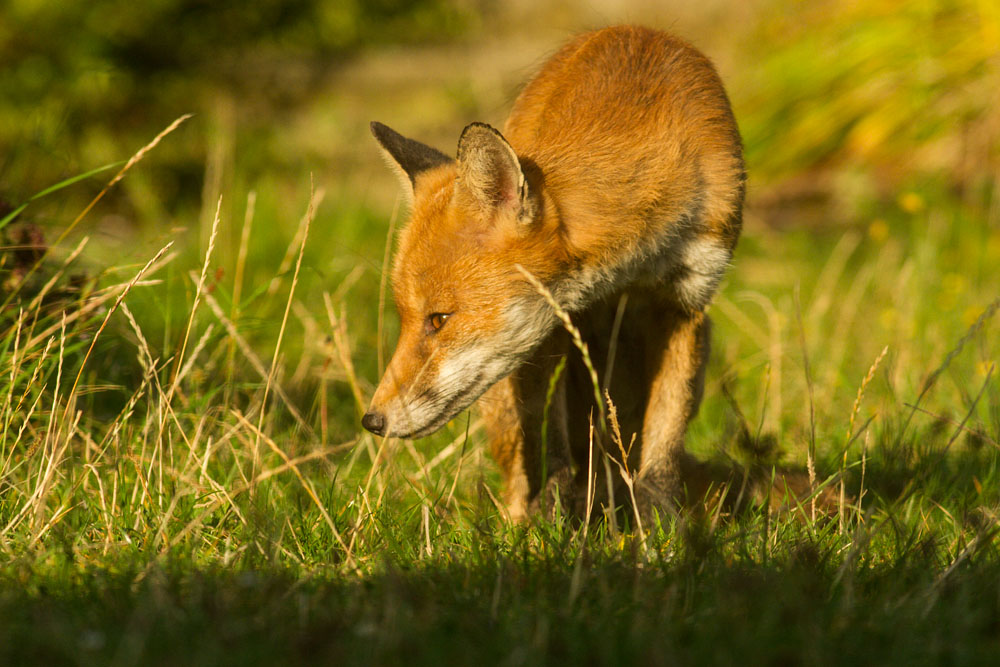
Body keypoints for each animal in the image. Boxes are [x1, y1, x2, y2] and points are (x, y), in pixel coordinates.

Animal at [361, 25, 745, 522]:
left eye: (439, 319)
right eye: (406, 318)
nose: (372, 420)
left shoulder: (685, 301)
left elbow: (664, 443)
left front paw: (658, 525)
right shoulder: (552, 329)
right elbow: (551, 443)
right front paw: (548, 519)